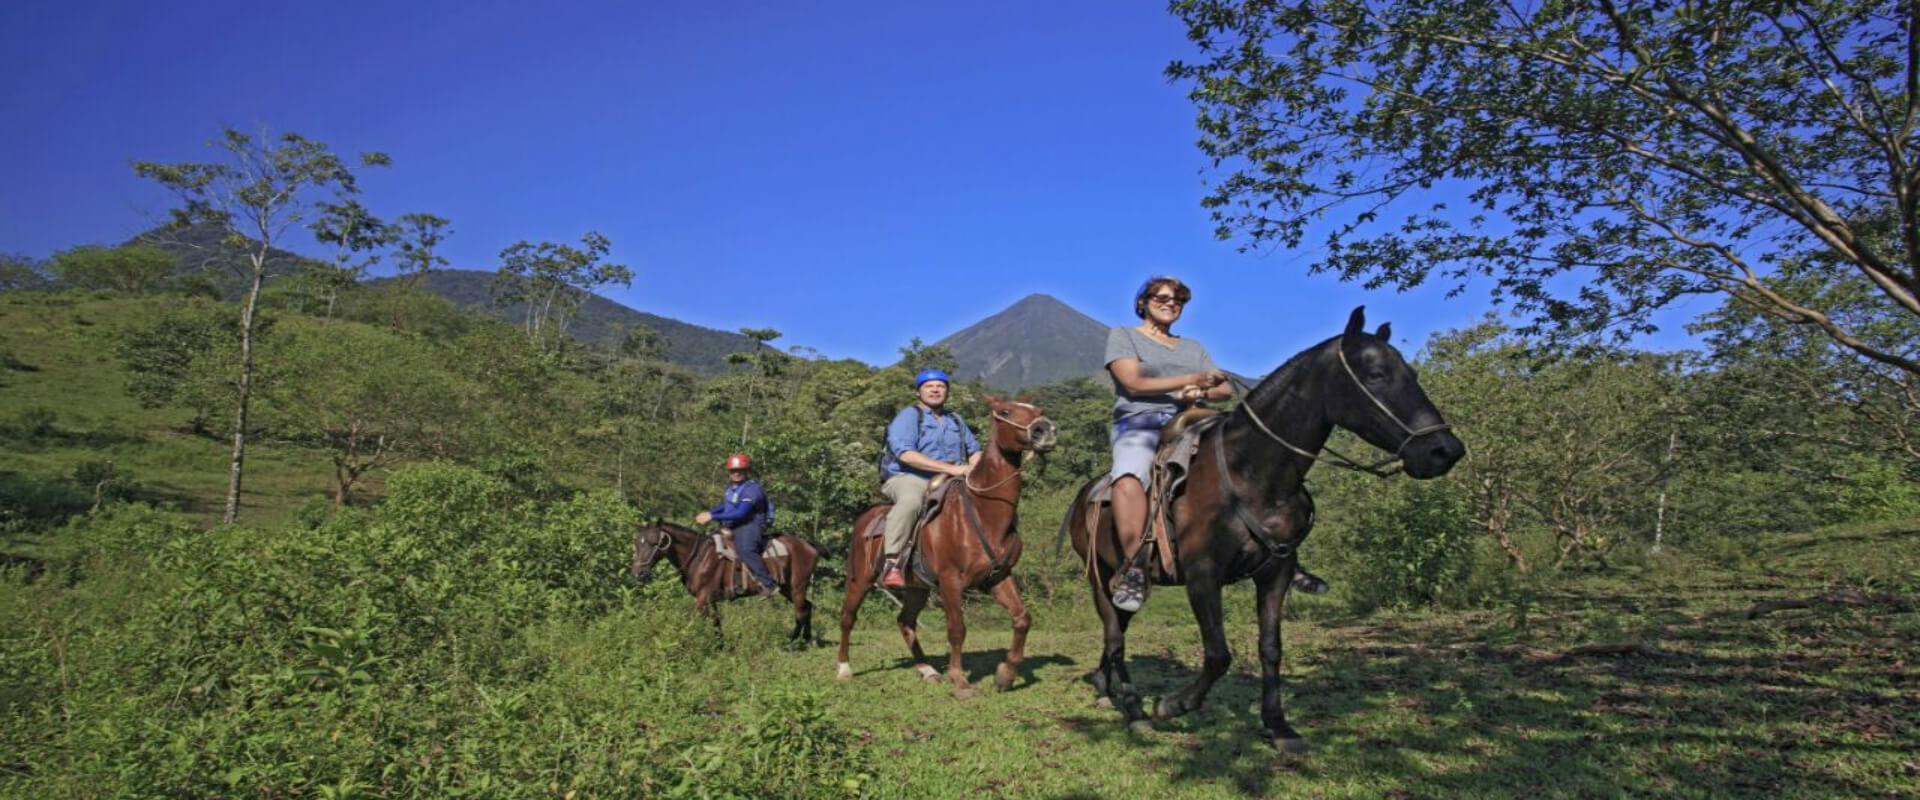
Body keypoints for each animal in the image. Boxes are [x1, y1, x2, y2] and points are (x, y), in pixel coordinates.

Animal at [625, 517, 814, 640]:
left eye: (653, 542)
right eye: (637, 542)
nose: (638, 573)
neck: (698, 556)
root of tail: (808, 545)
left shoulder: (702, 598)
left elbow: (690, 620)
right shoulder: (710, 599)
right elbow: (716, 623)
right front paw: (720, 647)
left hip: (797, 587)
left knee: (801, 611)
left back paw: (792, 642)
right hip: (786, 588)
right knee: (808, 606)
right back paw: (807, 639)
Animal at [833, 395, 1059, 694]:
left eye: (1040, 410)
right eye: (1005, 411)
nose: (1045, 430)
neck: (983, 512)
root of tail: (864, 519)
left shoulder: (998, 577)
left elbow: (1022, 618)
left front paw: (1005, 675)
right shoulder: (950, 580)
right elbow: (957, 628)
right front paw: (959, 679)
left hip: (917, 587)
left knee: (905, 620)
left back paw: (927, 670)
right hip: (860, 578)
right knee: (848, 617)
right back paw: (844, 669)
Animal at [1075, 305, 1459, 748]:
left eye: (1411, 373)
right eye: (1377, 375)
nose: (1445, 451)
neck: (1252, 471)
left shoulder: (1277, 570)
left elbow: (1271, 647)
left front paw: (1278, 725)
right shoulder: (1202, 575)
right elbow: (1218, 654)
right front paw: (1174, 704)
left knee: (1115, 635)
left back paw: (1106, 690)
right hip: (1101, 578)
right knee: (1116, 639)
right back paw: (1135, 708)